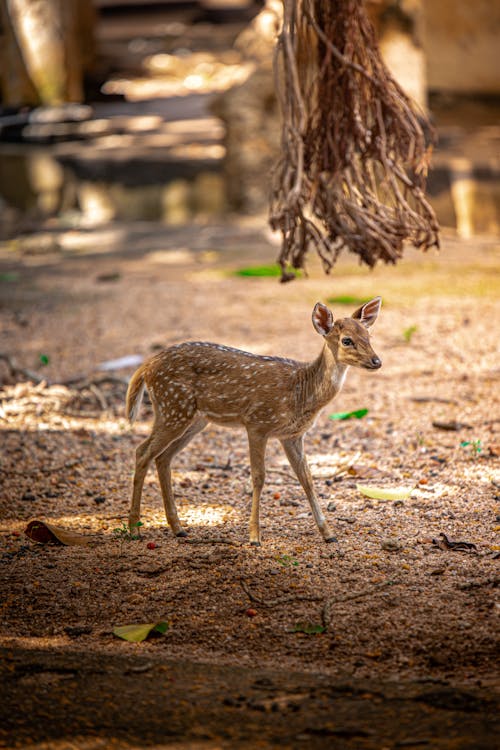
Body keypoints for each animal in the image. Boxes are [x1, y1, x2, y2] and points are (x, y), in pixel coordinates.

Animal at [127, 296, 380, 548]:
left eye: (368, 336)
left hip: (193, 418)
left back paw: (178, 528)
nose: (376, 361)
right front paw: (254, 537)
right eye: (346, 340)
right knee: (142, 451)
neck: (301, 392)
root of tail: (146, 366)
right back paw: (134, 530)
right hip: (172, 407)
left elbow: (306, 479)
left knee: (163, 457)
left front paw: (328, 533)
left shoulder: (292, 435)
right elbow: (259, 477)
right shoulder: (257, 422)